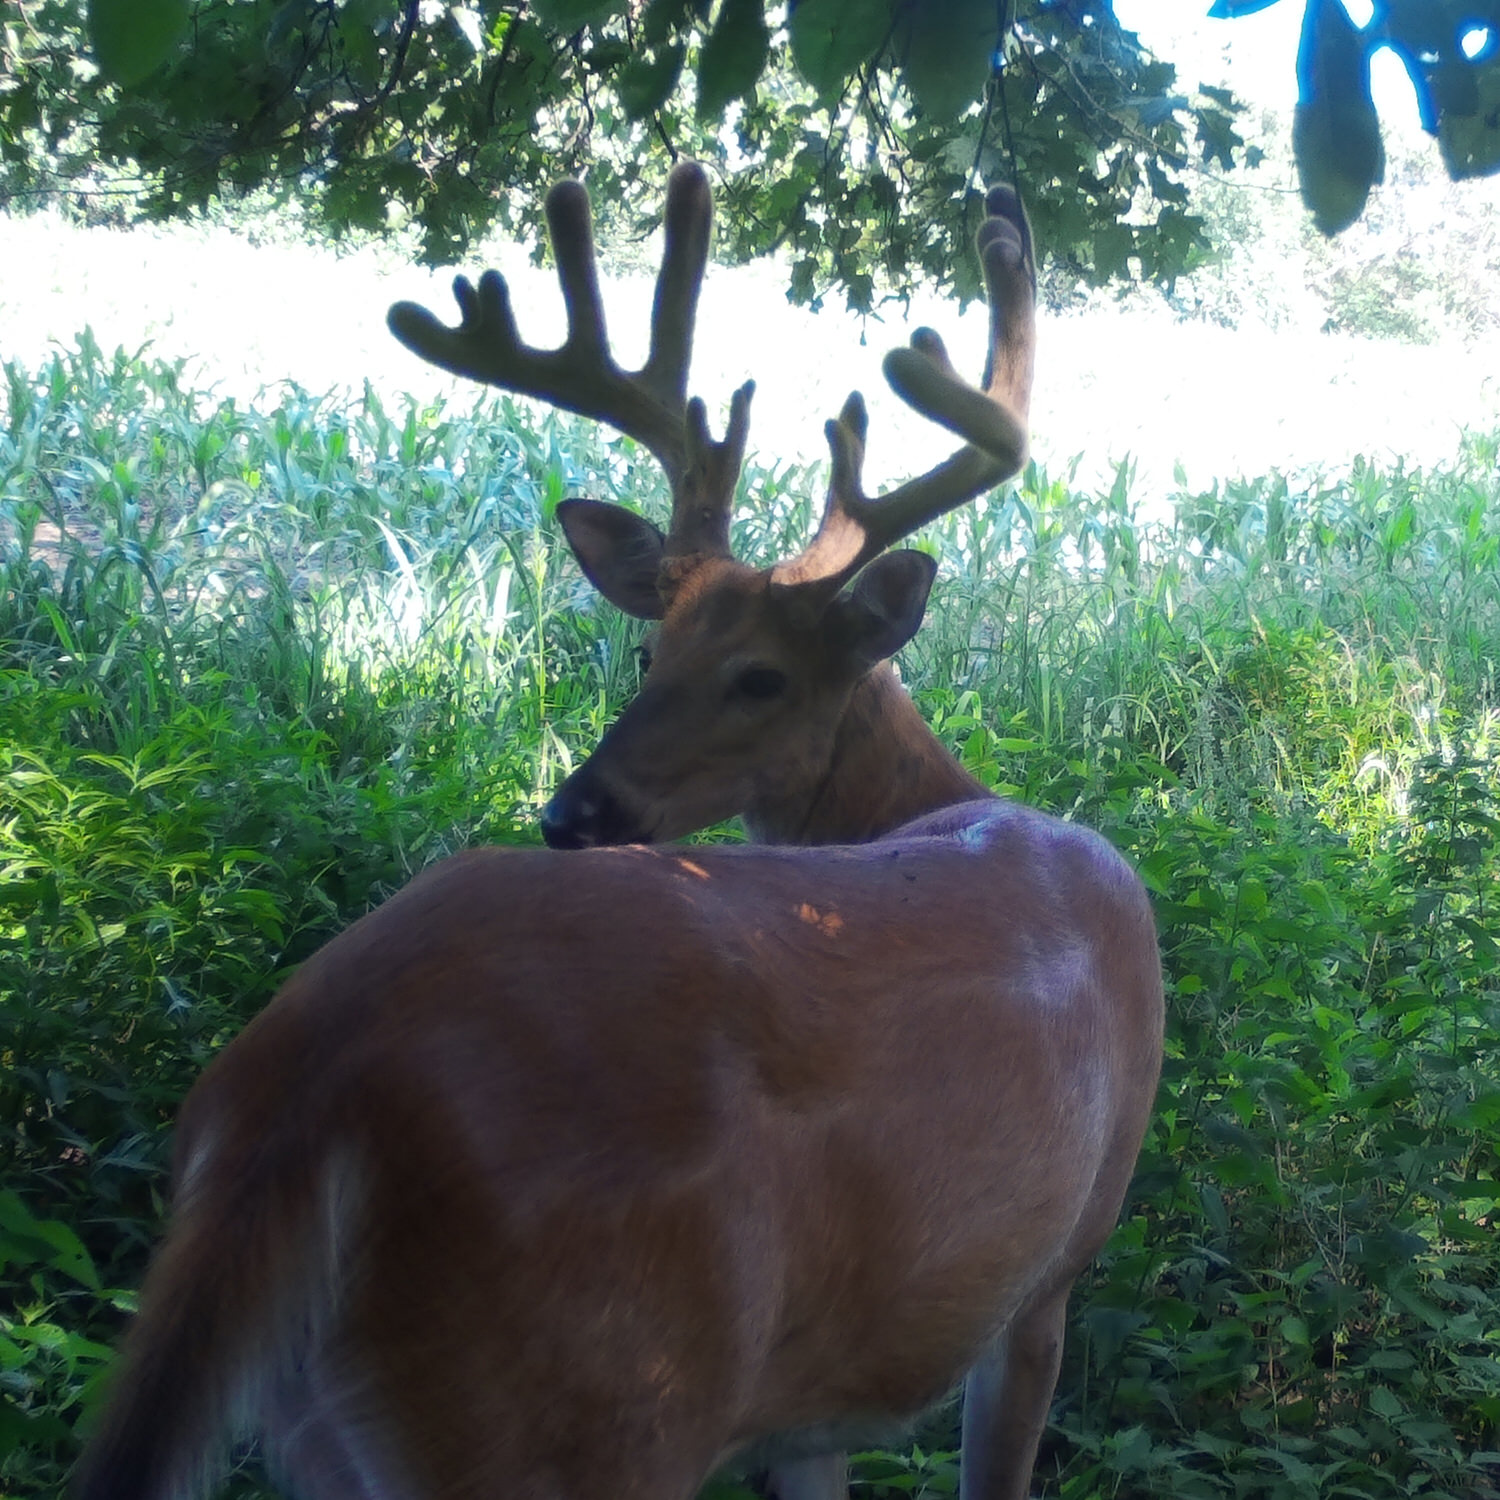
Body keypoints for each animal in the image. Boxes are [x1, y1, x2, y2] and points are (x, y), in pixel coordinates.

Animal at [76, 164, 1164, 1500]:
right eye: (650, 651)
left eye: (759, 677)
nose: (571, 811)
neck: (949, 800)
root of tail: (301, 1097)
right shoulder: (1047, 1279)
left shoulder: (825, 1399)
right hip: (589, 1409)